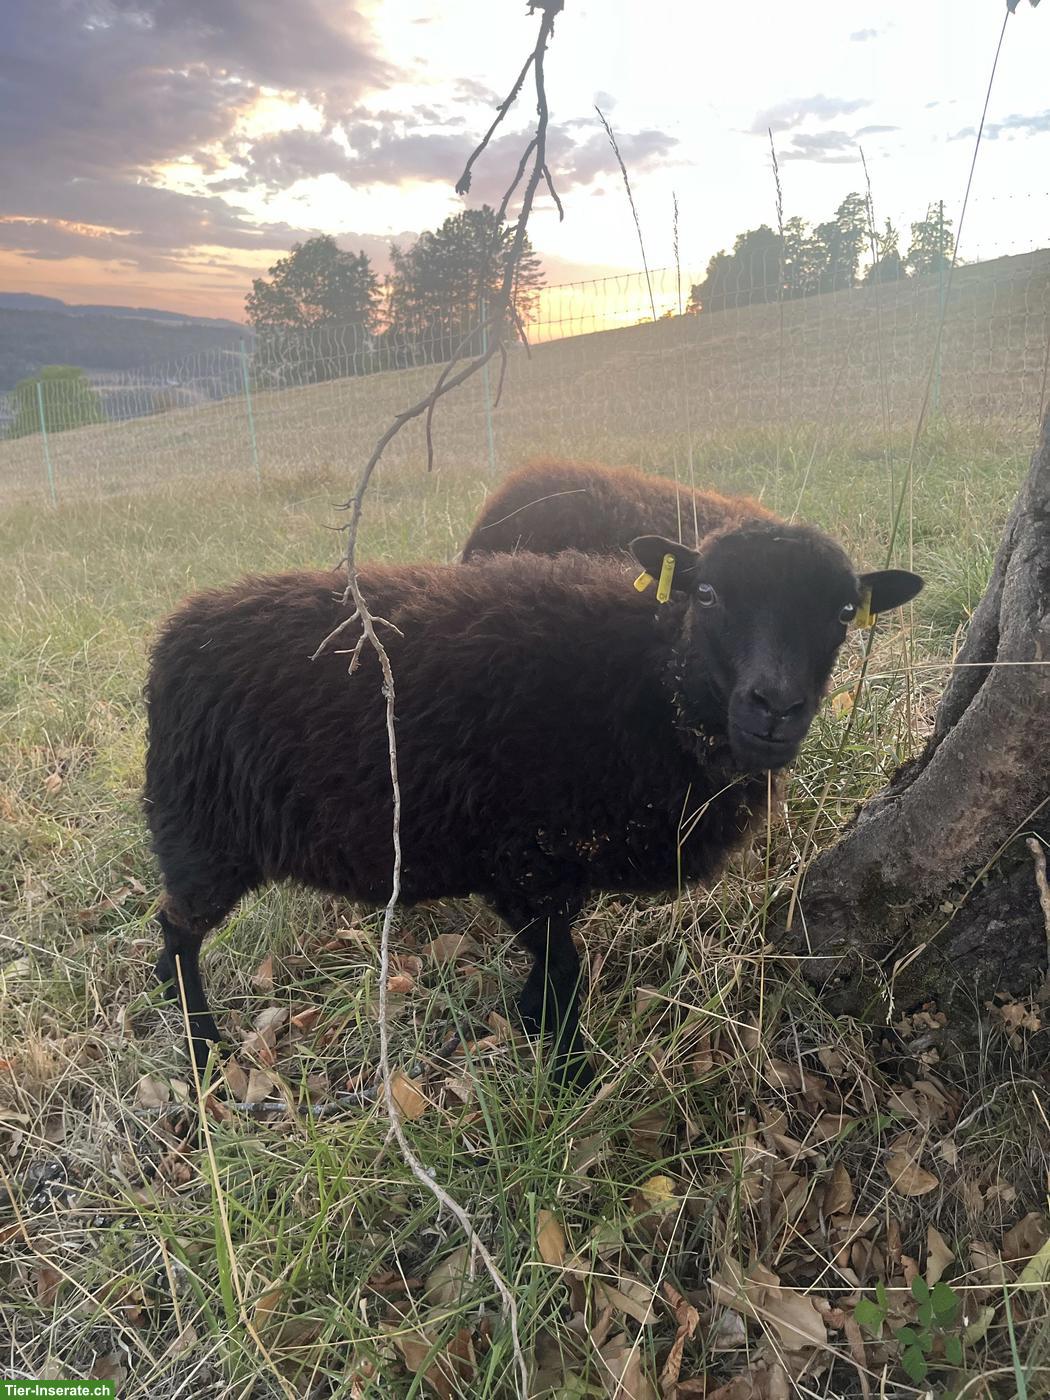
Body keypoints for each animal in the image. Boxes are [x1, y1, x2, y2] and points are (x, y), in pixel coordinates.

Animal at [145, 529, 923, 1087]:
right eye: (705, 592)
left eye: (845, 612)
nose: (776, 708)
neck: (651, 683)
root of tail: (176, 630)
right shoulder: (527, 862)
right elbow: (566, 972)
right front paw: (569, 1072)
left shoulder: (551, 869)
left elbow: (555, 971)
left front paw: (534, 1027)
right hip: (201, 833)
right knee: (177, 930)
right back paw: (203, 1046)